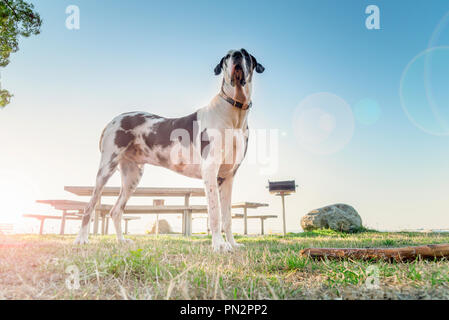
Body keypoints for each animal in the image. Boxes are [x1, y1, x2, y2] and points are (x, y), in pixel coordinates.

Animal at [73, 48, 262, 251]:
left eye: (245, 54)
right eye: (227, 56)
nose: (236, 55)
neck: (235, 113)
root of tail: (112, 120)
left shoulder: (227, 176)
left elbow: (227, 216)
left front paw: (232, 244)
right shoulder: (210, 170)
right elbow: (215, 213)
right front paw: (219, 245)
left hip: (132, 176)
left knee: (116, 211)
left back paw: (121, 241)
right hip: (106, 168)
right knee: (89, 207)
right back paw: (81, 239)